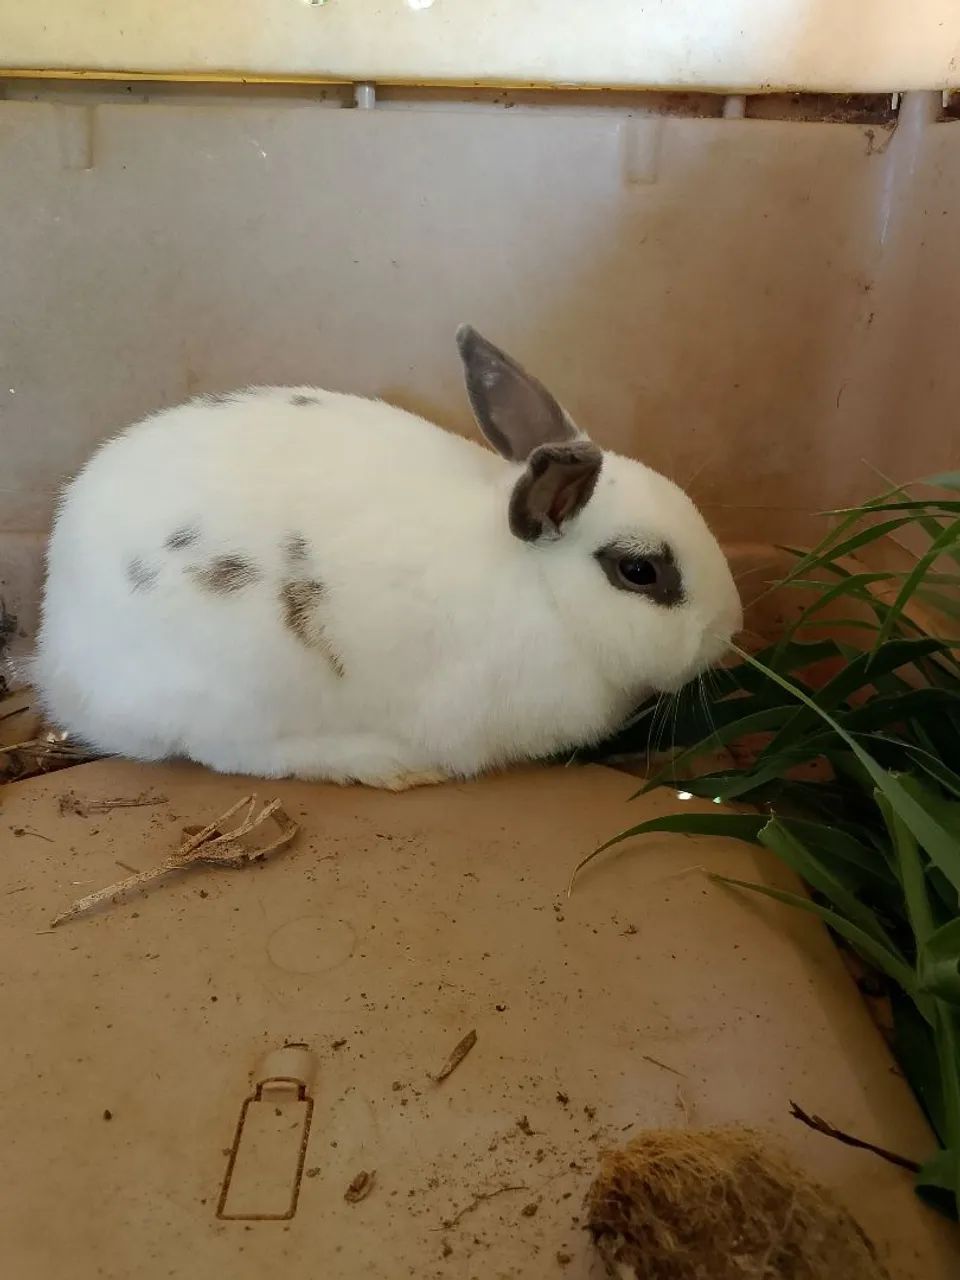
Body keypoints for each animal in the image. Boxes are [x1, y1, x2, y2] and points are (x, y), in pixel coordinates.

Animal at [33, 326, 742, 790]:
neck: (542, 590)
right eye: (640, 571)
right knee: (235, 753)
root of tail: (58, 658)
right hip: (239, 685)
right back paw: (384, 765)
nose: (729, 629)